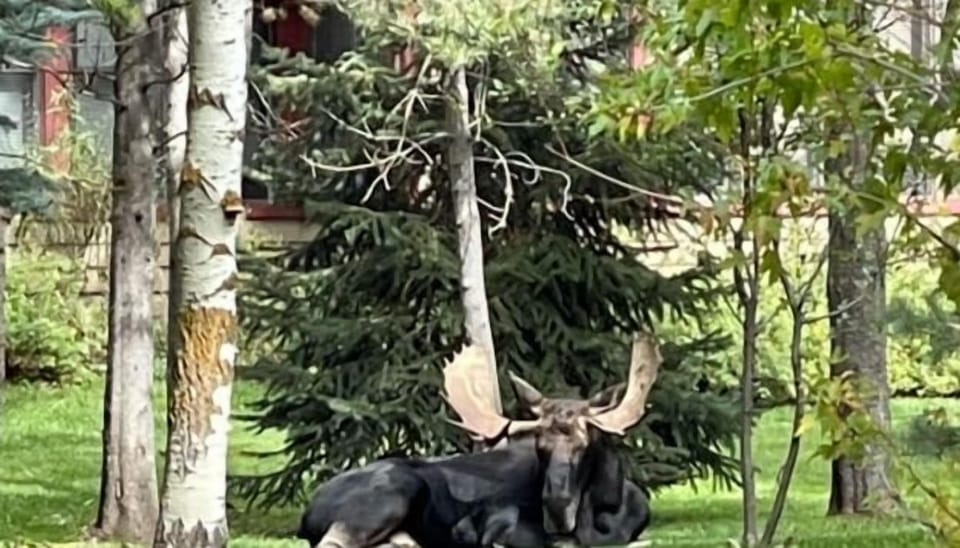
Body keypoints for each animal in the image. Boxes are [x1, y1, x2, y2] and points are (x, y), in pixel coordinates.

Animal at [297, 332, 662, 547]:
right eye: (539, 447)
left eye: (586, 444)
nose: (556, 508)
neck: (603, 509)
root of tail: (308, 511)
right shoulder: (501, 522)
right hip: (392, 491)